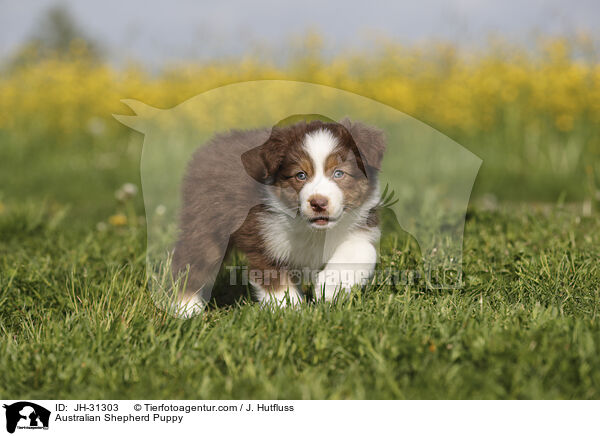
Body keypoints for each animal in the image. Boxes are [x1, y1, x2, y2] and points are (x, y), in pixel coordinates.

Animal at [170, 116, 384, 314]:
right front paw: (291, 312)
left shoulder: (360, 227)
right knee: (190, 262)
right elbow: (276, 283)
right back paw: (184, 309)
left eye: (339, 173)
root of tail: (209, 147)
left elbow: (363, 250)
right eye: (300, 175)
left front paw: (330, 289)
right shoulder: (263, 238)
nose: (318, 203)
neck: (312, 230)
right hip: (206, 226)